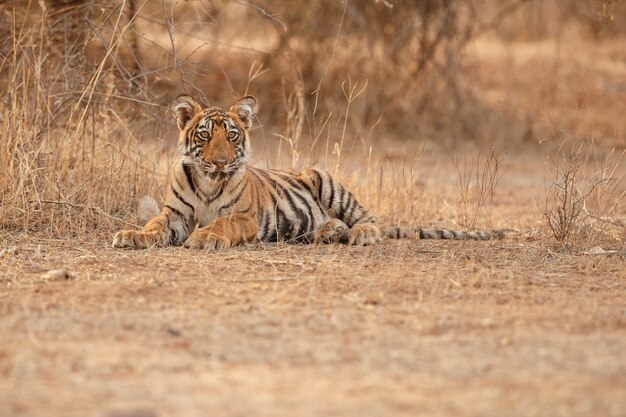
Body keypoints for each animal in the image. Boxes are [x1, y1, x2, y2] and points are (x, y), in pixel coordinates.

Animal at [112, 94, 500, 249]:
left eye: (232, 135)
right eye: (205, 135)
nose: (221, 162)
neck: (210, 181)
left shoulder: (244, 217)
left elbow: (222, 223)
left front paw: (206, 237)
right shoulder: (175, 213)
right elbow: (154, 225)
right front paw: (133, 235)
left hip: (326, 180)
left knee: (369, 219)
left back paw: (358, 234)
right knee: (332, 225)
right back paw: (327, 233)